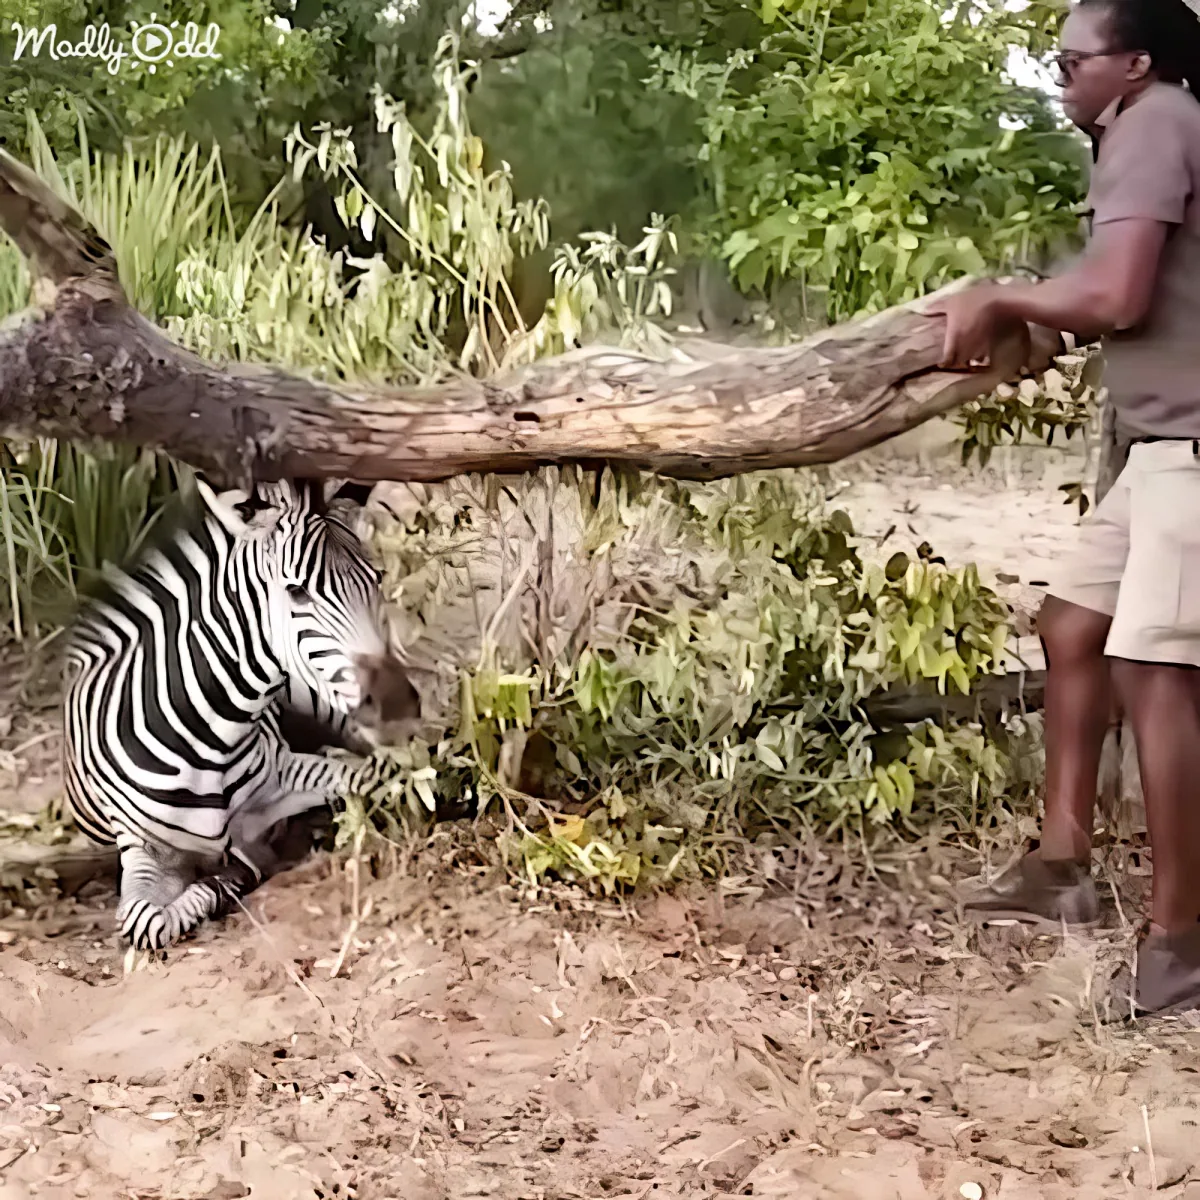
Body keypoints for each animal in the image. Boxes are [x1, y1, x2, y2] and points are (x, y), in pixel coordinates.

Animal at [61, 476, 421, 952]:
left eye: (375, 578)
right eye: (296, 591)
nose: (397, 704)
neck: (206, 739)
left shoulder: (286, 774)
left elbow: (369, 776)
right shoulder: (143, 845)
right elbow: (146, 920)